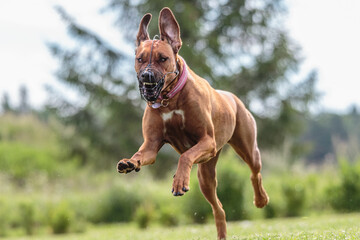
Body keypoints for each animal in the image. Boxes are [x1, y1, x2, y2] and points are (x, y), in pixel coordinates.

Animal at [116, 7, 268, 240]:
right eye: (140, 59)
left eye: (163, 58)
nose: (146, 76)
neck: (171, 99)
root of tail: (233, 97)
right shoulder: (151, 145)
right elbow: (142, 154)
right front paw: (130, 162)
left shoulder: (207, 141)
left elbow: (185, 156)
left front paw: (179, 181)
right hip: (206, 175)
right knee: (218, 208)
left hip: (246, 148)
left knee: (255, 173)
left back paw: (261, 200)